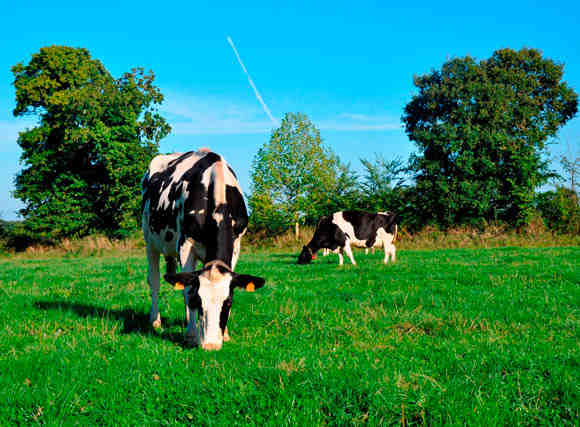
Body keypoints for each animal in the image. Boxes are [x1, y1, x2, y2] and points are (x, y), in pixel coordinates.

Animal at [142, 150, 266, 352]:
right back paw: (155, 320)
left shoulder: (237, 244)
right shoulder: (185, 244)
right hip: (150, 242)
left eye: (228, 301)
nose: (211, 345)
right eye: (199, 301)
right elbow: (187, 291)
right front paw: (191, 335)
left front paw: (225, 334)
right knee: (154, 281)